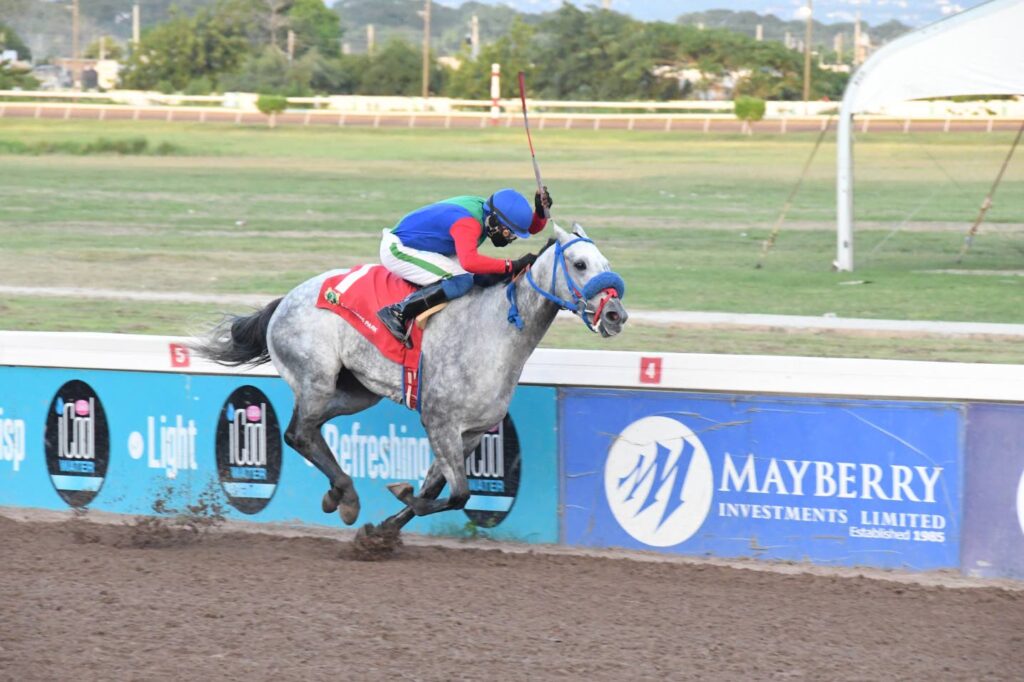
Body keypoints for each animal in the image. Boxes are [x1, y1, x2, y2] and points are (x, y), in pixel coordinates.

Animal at [192, 222, 627, 539]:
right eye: (580, 264)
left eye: (604, 261)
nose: (616, 315)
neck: (495, 332)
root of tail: (285, 300)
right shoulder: (440, 421)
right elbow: (458, 493)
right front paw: (400, 498)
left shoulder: (471, 430)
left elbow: (438, 488)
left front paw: (383, 530)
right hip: (315, 377)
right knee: (298, 433)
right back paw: (346, 494)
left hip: (356, 391)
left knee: (310, 430)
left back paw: (339, 495)